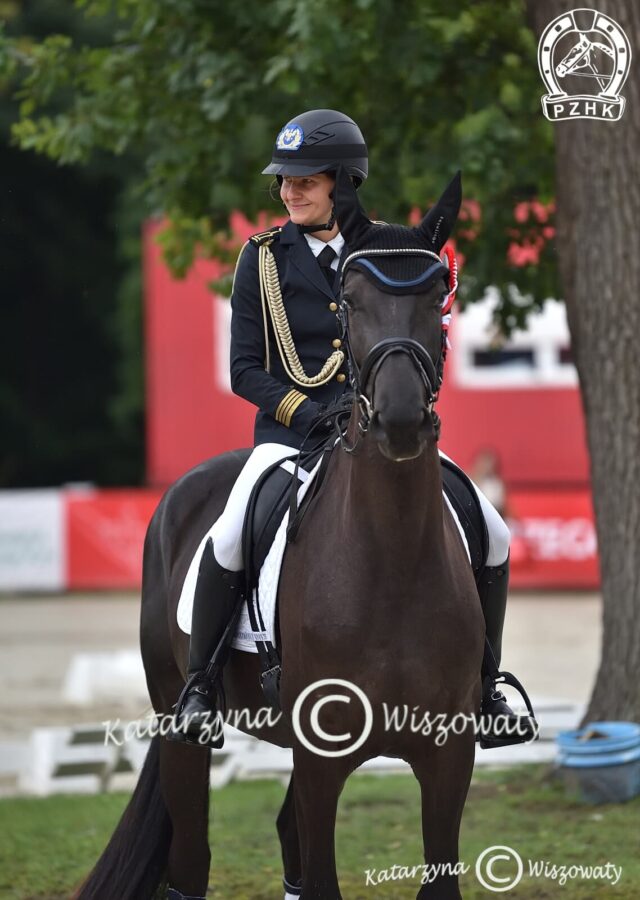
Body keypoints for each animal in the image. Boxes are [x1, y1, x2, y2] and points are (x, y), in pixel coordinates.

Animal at [74, 171, 484, 900]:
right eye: (350, 302)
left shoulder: (448, 754)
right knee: (192, 861)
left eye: (438, 295)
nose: (401, 421)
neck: (393, 562)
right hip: (180, 725)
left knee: (285, 836)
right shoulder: (322, 756)